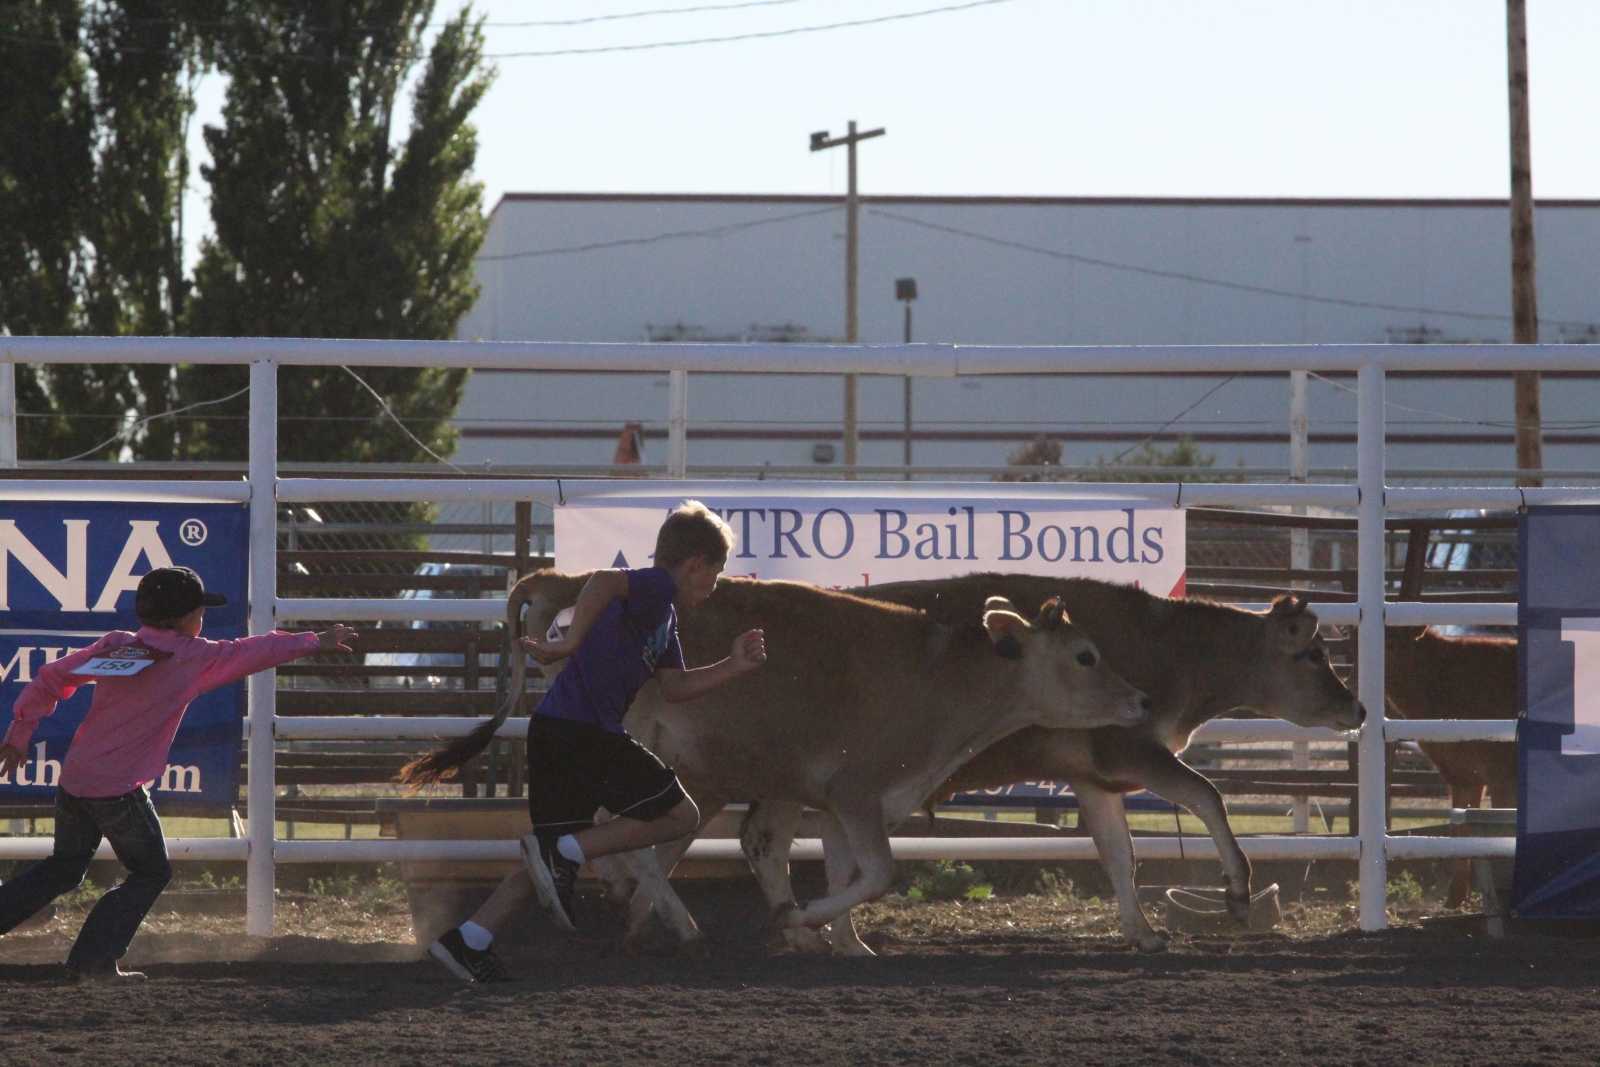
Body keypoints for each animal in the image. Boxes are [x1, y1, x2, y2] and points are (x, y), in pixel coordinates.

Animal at [401, 570, 1151, 951]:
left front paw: (844, 942)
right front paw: (800, 919)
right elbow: (878, 871)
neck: (938, 678)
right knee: (632, 839)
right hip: (638, 751)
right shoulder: (856, 789)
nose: (1140, 698)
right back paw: (669, 917)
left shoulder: (839, 803)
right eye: (1086, 655)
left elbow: (847, 868)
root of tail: (569, 583)